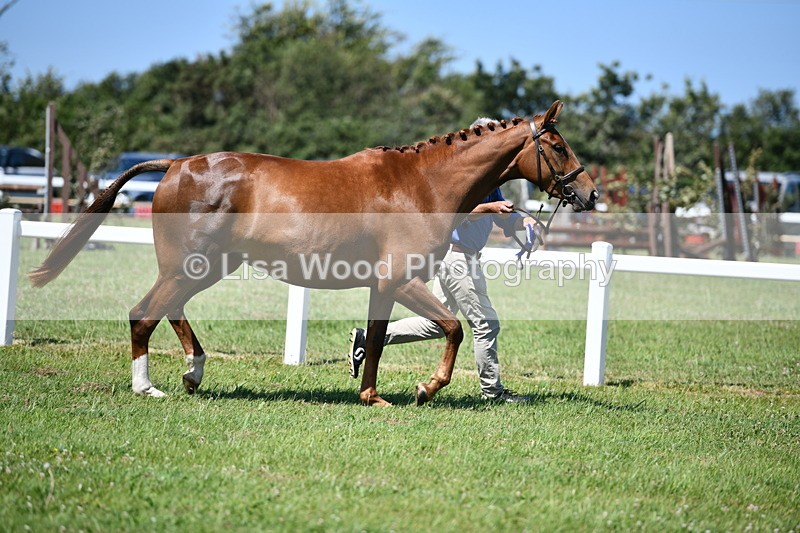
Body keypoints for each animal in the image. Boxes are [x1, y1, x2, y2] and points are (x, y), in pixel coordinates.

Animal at [29, 100, 597, 406]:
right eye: (559, 145)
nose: (590, 194)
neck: (422, 185)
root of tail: (176, 164)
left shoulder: (383, 285)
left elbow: (377, 338)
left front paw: (371, 395)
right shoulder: (402, 279)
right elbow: (454, 328)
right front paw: (425, 388)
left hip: (206, 266)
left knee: (169, 309)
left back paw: (194, 372)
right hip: (193, 265)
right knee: (143, 313)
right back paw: (149, 388)